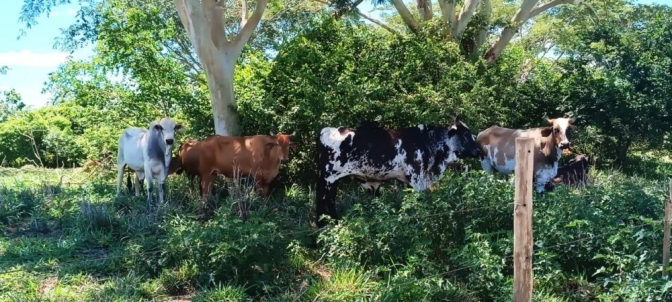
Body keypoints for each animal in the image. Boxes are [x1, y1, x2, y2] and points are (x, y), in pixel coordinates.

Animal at [316, 115, 484, 226]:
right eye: (465, 133)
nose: (478, 150)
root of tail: (327, 130)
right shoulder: (417, 178)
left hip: (333, 180)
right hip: (329, 178)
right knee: (325, 199)